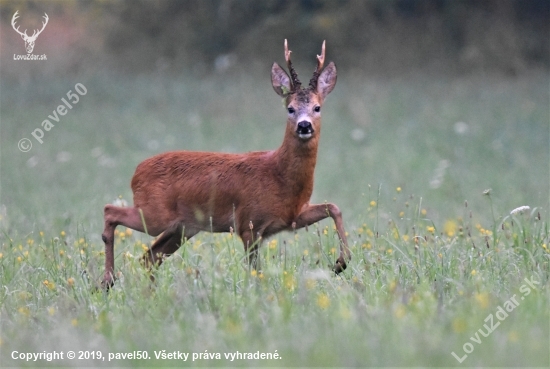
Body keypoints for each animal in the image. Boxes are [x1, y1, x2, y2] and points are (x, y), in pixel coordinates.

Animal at [102, 41, 352, 288]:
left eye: (317, 107)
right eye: (290, 108)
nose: (304, 126)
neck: (279, 175)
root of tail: (136, 173)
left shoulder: (292, 216)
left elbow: (333, 207)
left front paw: (341, 263)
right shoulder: (248, 223)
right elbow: (255, 271)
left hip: (182, 227)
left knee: (149, 257)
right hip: (154, 213)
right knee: (110, 212)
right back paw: (107, 280)